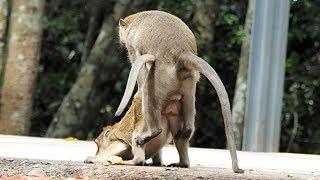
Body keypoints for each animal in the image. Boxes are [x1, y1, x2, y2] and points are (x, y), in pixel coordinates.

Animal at [115, 10, 242, 173]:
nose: (120, 39)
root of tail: (183, 53)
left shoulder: (133, 46)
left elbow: (140, 70)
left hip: (161, 77)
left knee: (148, 95)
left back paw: (151, 133)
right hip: (190, 80)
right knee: (186, 122)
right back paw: (183, 158)